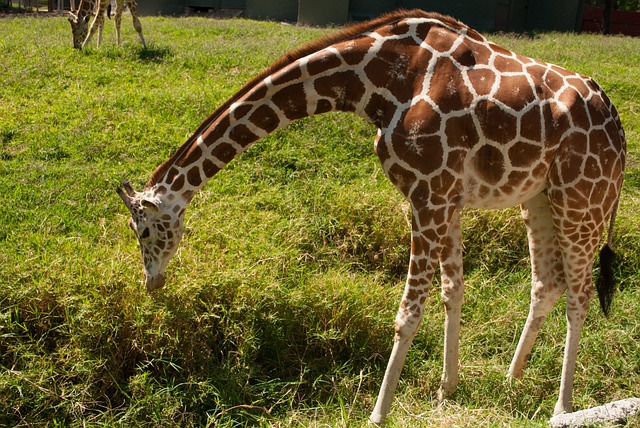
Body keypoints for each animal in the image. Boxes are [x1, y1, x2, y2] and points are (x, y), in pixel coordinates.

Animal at [116, 9, 624, 424]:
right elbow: (452, 290)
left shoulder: (428, 193)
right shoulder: (444, 197)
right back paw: (511, 379)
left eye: (144, 230)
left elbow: (408, 311)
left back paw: (562, 406)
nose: (152, 283)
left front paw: (379, 412)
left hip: (584, 198)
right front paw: (447, 390)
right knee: (547, 282)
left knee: (579, 293)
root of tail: (619, 130)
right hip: (540, 197)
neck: (380, 82)